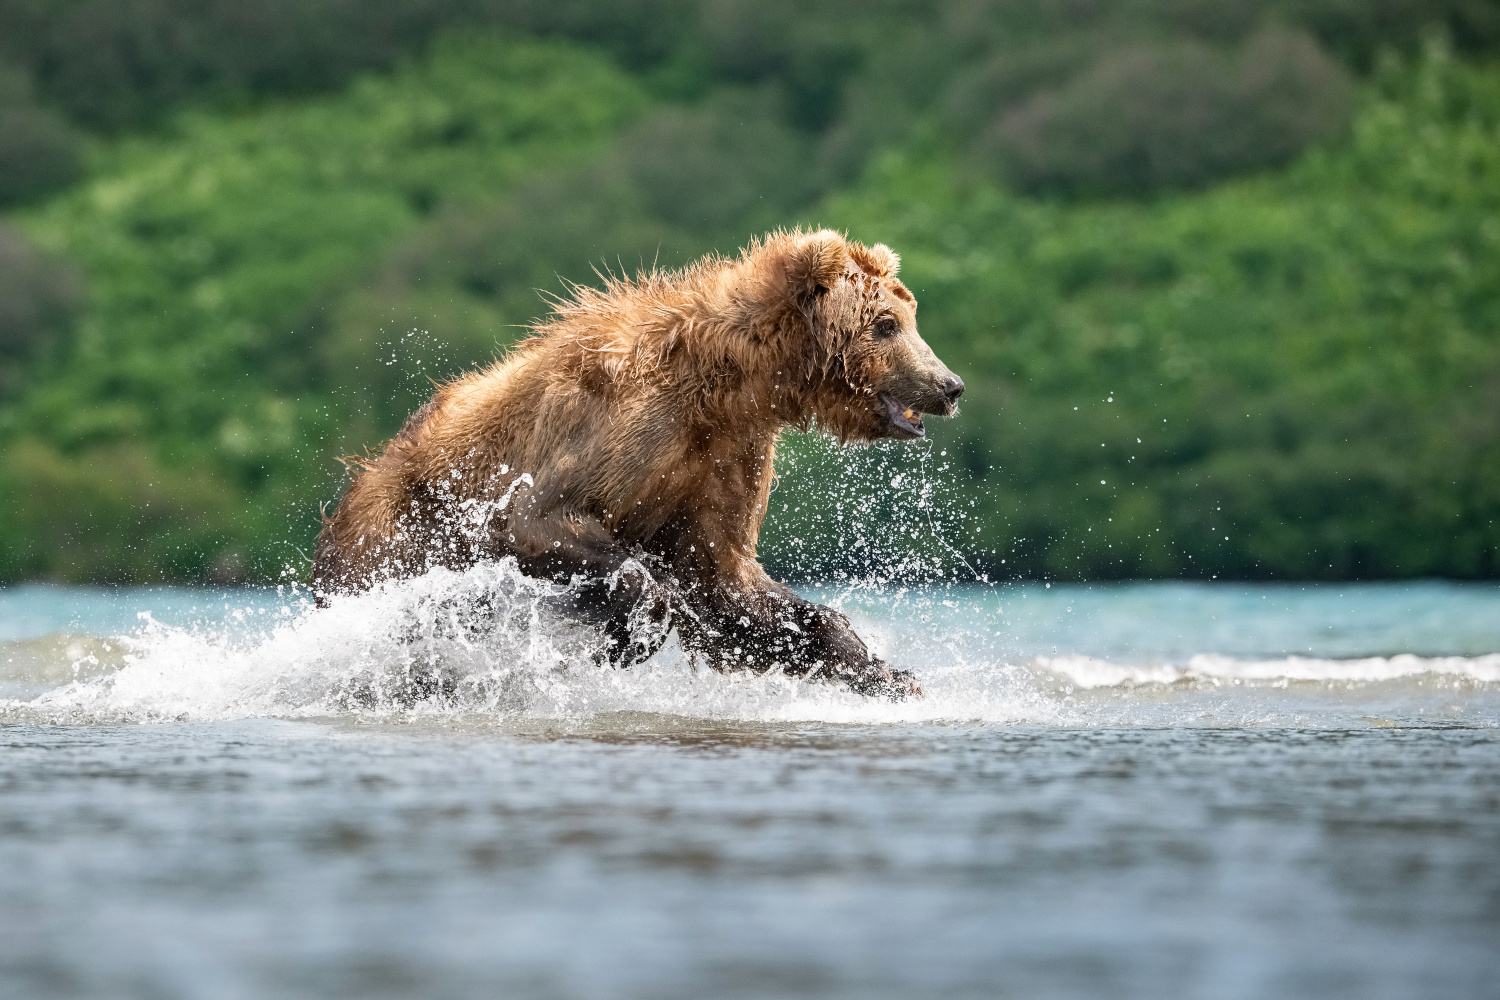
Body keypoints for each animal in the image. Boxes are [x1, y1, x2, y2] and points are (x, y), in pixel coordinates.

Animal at [312, 227, 966, 701]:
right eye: (887, 324)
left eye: (909, 317)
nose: (950, 385)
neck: (727, 383)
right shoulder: (622, 425)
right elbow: (544, 517)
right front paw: (630, 634)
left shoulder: (725, 458)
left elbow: (728, 581)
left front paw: (884, 671)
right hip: (396, 533)